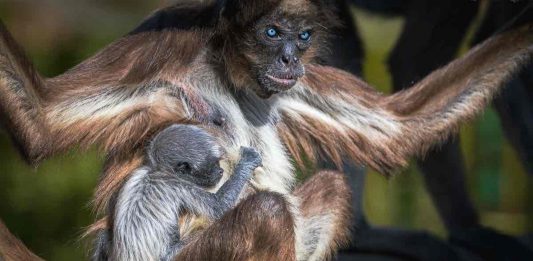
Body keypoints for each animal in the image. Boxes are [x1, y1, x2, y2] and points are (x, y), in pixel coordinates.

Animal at [96, 124, 264, 260]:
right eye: (214, 164)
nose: (220, 171)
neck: (156, 170)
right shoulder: (176, 185)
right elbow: (218, 207)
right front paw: (247, 161)